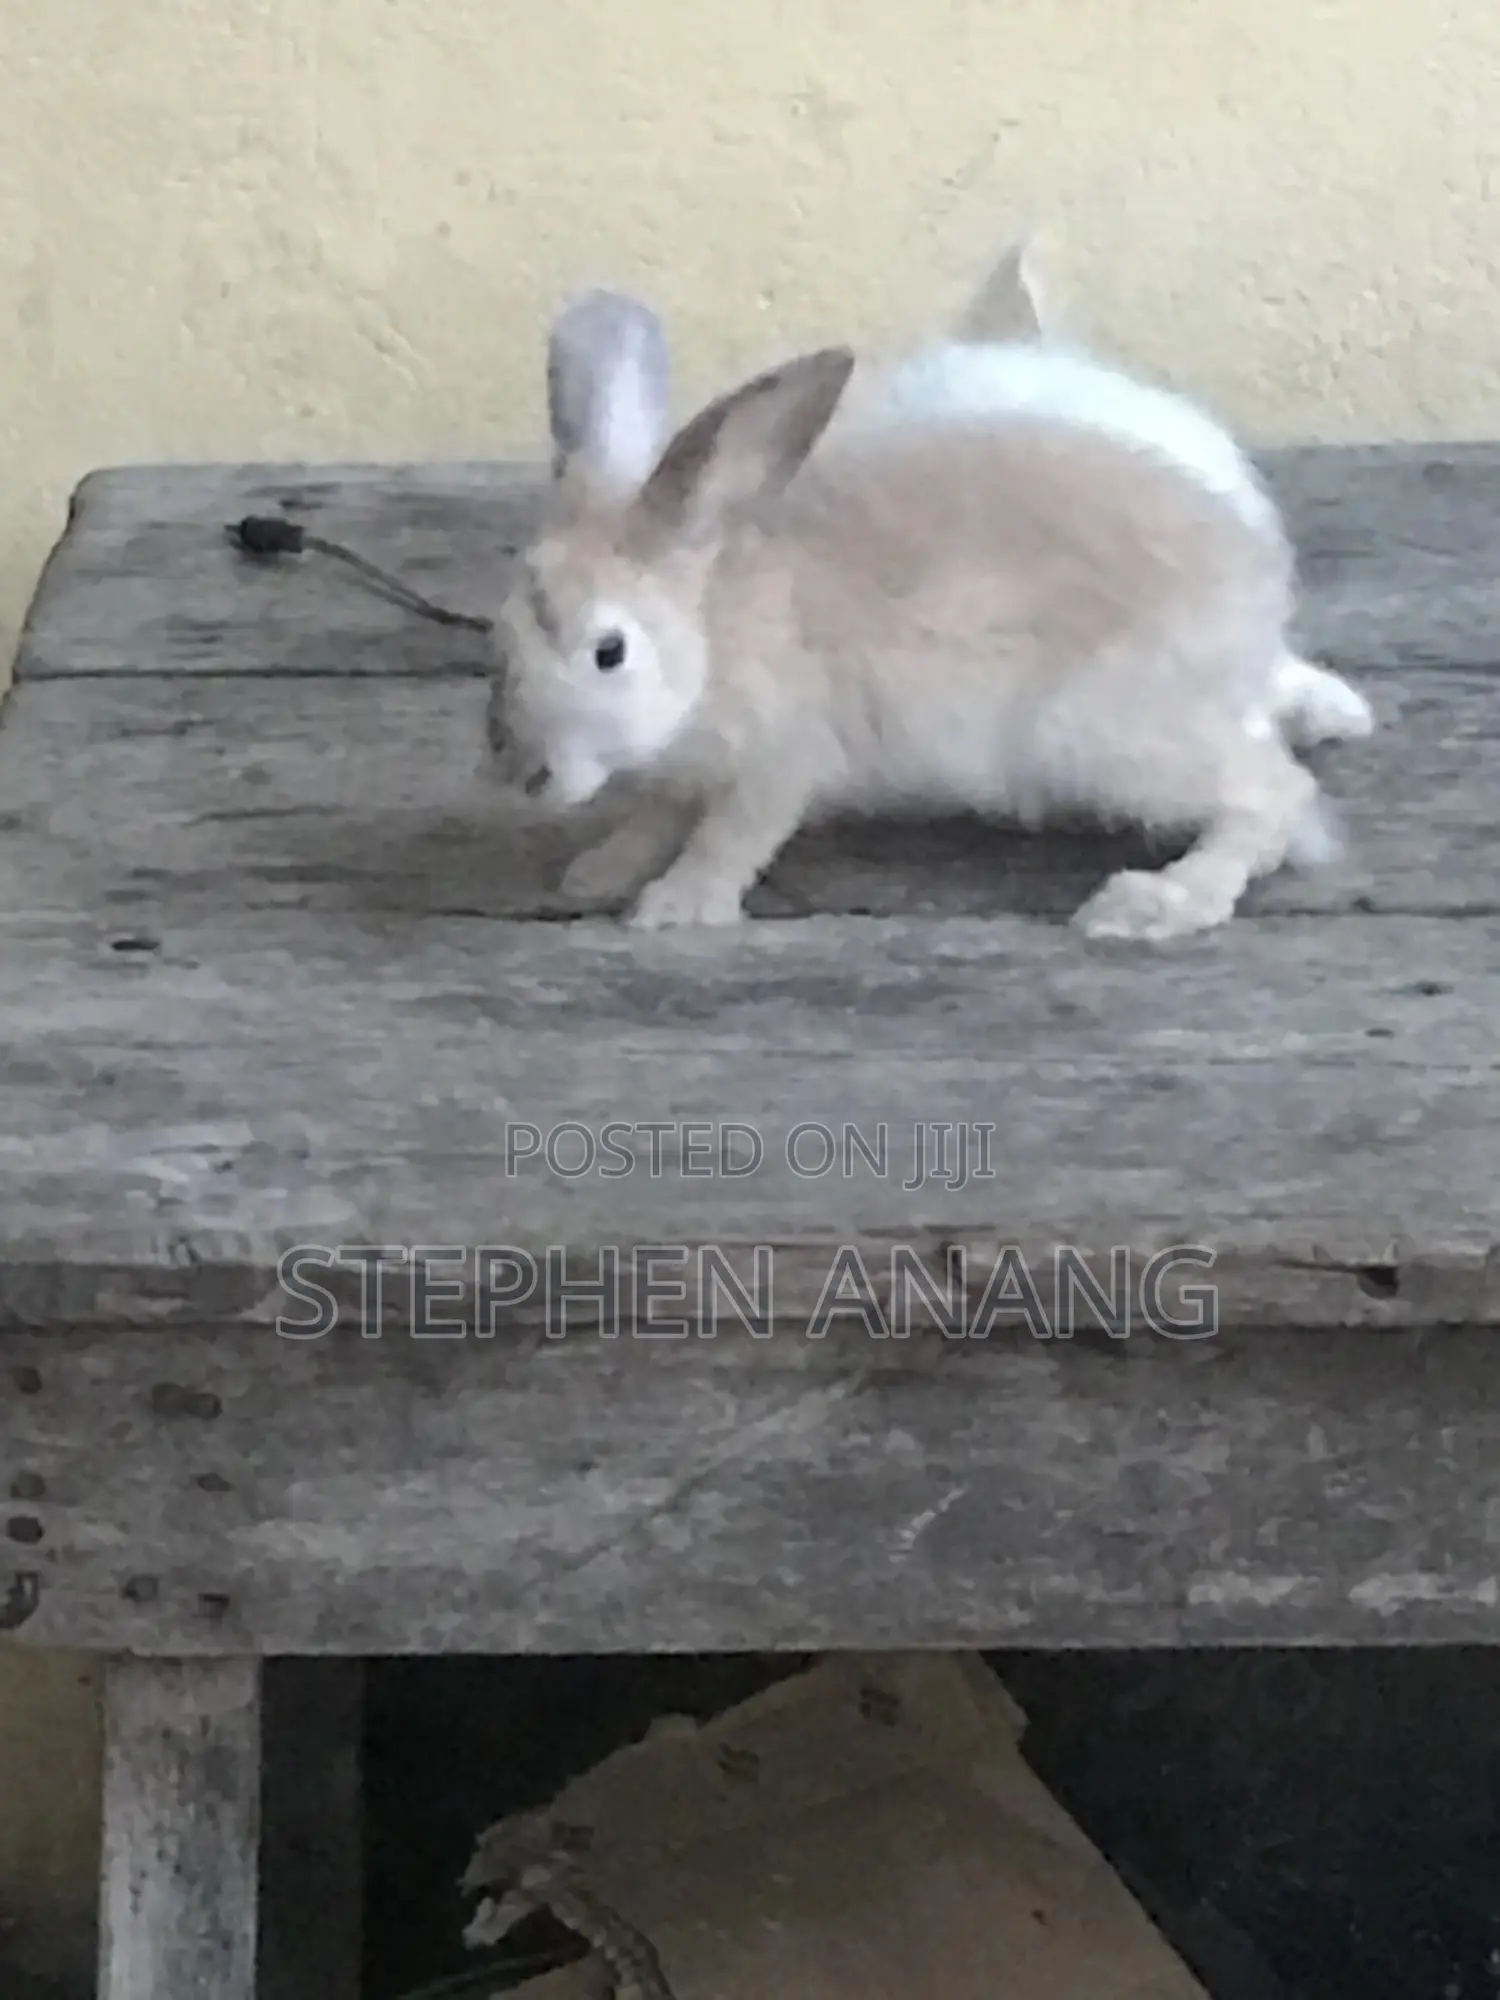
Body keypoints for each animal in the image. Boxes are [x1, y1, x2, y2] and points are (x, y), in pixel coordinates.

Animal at [484, 297, 1338, 944]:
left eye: (609, 650)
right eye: (501, 636)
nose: (522, 776)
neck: (710, 634)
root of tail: (1257, 605)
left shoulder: (783, 758)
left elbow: (732, 837)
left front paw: (677, 908)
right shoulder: (683, 775)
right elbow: (654, 821)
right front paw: (595, 873)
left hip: (1108, 734)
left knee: (1276, 793)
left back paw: (1157, 902)